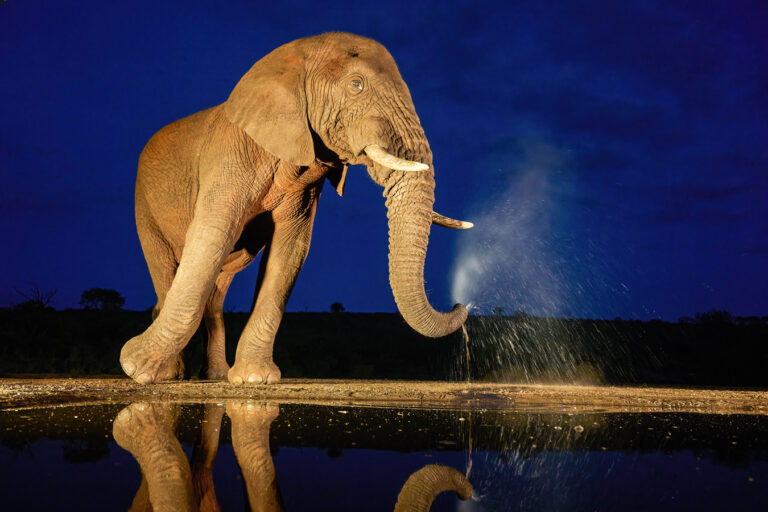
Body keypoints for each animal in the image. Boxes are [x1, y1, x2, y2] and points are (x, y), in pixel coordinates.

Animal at [120, 32, 473, 385]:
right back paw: (168, 374)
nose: (462, 305)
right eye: (356, 85)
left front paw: (255, 379)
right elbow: (213, 232)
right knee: (165, 269)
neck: (292, 59)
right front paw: (135, 368)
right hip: (143, 204)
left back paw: (216, 376)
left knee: (218, 290)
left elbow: (290, 249)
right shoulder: (230, 155)